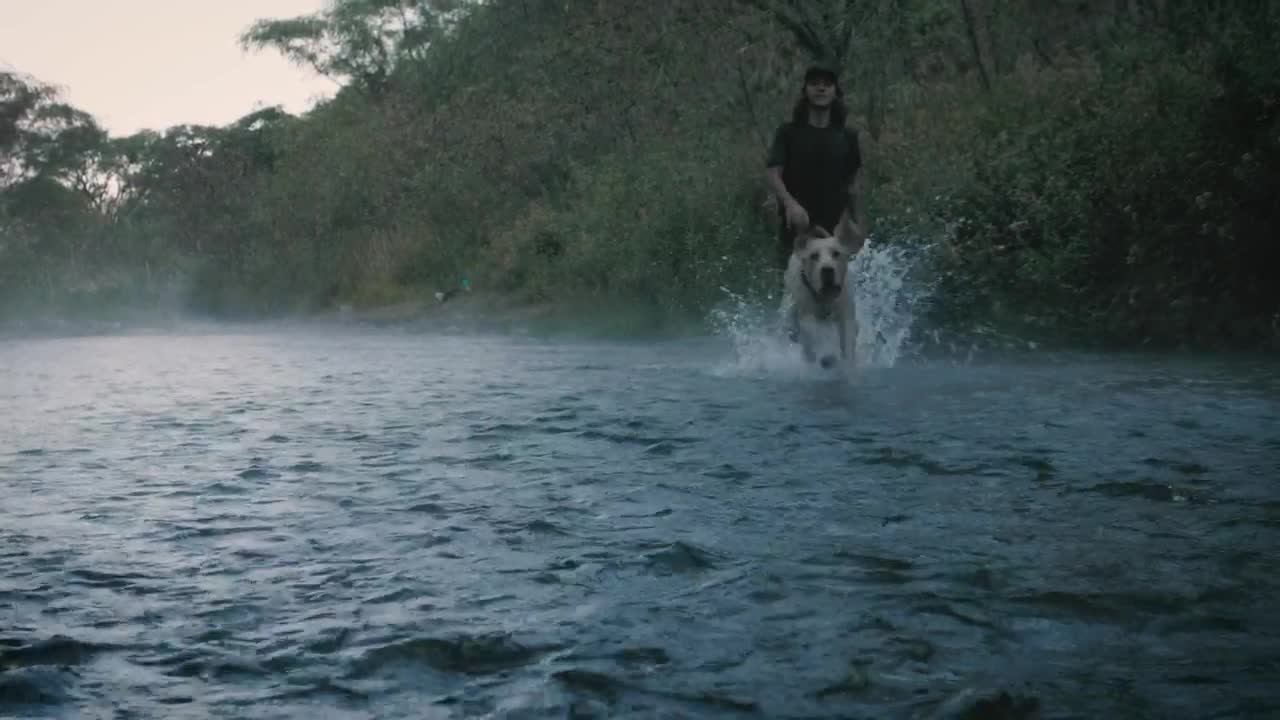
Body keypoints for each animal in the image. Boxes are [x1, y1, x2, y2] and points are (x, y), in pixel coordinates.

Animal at [773, 220, 865, 368]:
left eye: (836, 253)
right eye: (814, 256)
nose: (827, 270)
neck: (824, 299)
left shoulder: (846, 315)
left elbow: (848, 341)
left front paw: (847, 364)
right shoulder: (807, 317)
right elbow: (811, 336)